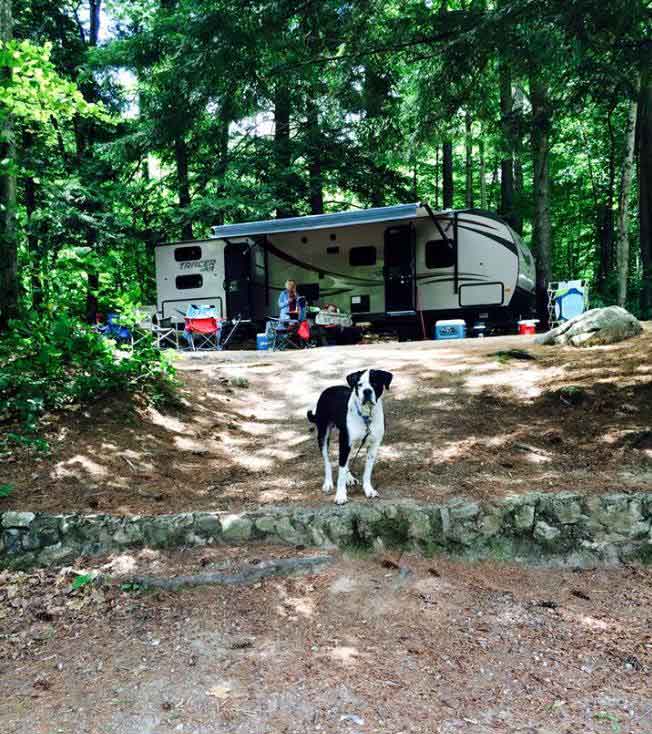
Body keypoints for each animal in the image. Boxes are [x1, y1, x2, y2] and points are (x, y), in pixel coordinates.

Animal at [306, 368, 392, 506]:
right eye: (359, 385)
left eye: (374, 383)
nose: (367, 391)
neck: (366, 416)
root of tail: (329, 389)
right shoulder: (345, 443)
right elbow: (340, 471)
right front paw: (341, 495)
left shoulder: (373, 445)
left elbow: (367, 471)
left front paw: (368, 489)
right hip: (323, 435)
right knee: (327, 461)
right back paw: (328, 482)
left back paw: (349, 478)